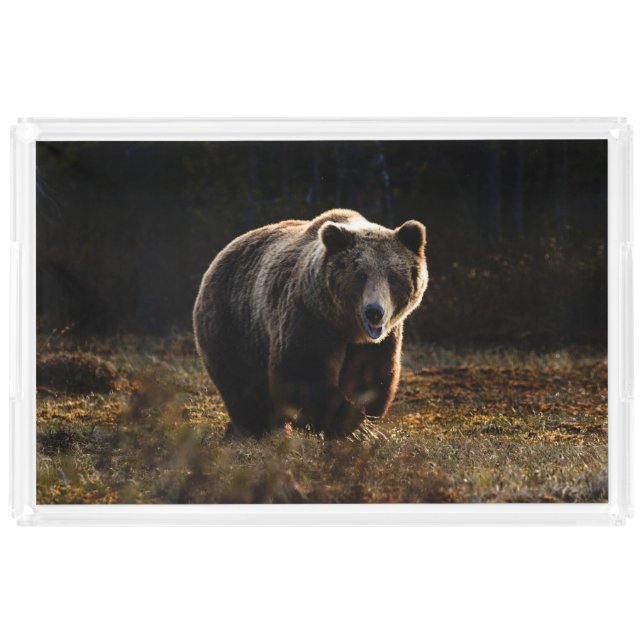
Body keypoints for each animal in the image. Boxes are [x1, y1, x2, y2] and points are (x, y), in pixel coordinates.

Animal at [193, 208, 428, 439]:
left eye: (392, 276)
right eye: (361, 275)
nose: (374, 312)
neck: (347, 326)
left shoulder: (379, 341)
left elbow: (370, 377)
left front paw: (361, 422)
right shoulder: (311, 317)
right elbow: (303, 372)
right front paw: (353, 426)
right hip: (233, 324)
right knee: (243, 386)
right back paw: (255, 429)